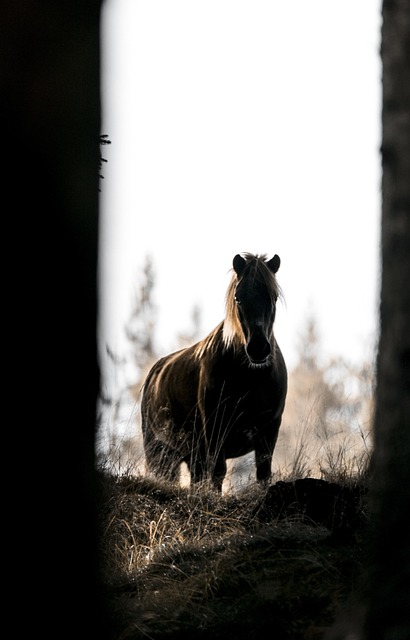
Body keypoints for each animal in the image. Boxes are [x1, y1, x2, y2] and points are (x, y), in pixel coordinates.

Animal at [140, 252, 288, 492]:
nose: (258, 348)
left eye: (273, 298)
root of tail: (155, 372)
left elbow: (263, 474)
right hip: (160, 451)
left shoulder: (269, 431)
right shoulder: (215, 430)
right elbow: (218, 474)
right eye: (238, 298)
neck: (249, 378)